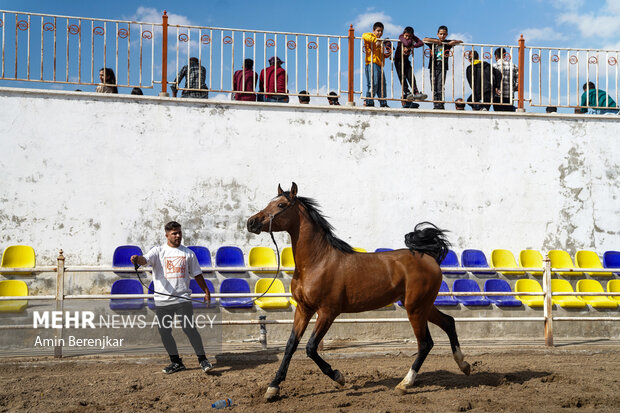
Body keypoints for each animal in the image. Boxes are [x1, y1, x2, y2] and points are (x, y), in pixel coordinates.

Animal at [247, 181, 470, 400]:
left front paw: (339, 377)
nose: (251, 222)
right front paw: (273, 387)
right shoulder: (304, 309)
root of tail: (429, 257)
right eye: (270, 202)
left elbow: (310, 347)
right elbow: (291, 345)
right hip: (422, 306)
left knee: (424, 343)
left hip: (415, 308)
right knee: (448, 323)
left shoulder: (327, 312)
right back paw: (464, 365)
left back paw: (404, 384)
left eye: (281, 205)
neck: (317, 261)